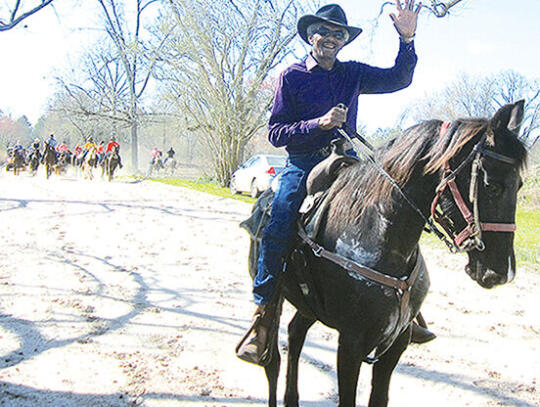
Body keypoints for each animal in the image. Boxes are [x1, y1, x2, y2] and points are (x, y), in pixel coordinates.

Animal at [249, 102, 528, 407]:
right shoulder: (351, 344)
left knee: (296, 333)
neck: (378, 237)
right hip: (276, 299)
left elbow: (379, 397)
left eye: (520, 185)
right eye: (492, 186)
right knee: (272, 359)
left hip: (309, 306)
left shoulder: (397, 342)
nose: (501, 272)